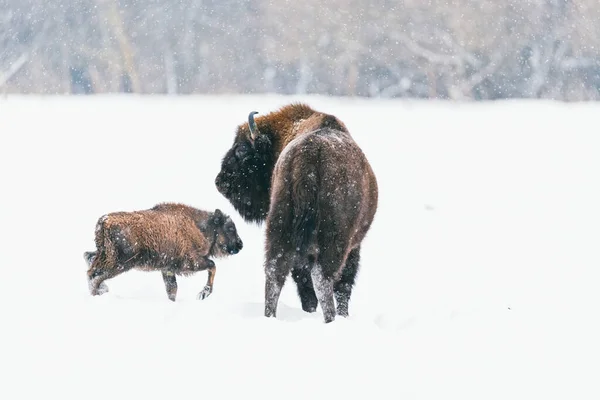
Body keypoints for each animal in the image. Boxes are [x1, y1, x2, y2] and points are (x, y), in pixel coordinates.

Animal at [83, 203, 243, 300]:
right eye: (230, 228)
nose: (240, 245)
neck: (199, 227)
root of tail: (104, 221)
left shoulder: (168, 270)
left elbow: (172, 290)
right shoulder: (190, 263)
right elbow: (212, 266)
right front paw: (204, 294)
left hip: (104, 256)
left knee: (88, 259)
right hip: (120, 264)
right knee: (94, 276)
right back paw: (99, 293)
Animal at [213, 103, 378, 322]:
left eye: (242, 149)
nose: (220, 182)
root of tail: (309, 155)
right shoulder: (354, 247)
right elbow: (344, 284)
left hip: (279, 226)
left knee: (275, 272)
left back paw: (270, 317)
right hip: (334, 241)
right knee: (322, 278)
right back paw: (330, 319)